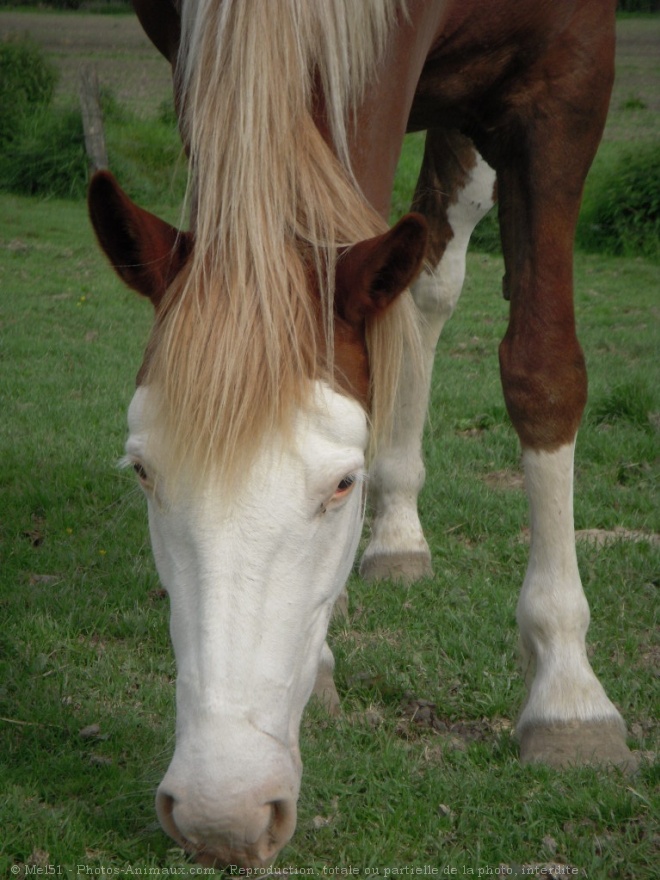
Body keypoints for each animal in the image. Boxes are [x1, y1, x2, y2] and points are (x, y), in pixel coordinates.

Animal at [85, 0, 632, 868]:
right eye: (142, 471)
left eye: (343, 482)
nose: (220, 815)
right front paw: (323, 663)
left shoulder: (565, 79)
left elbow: (543, 370)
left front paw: (568, 692)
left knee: (435, 273)